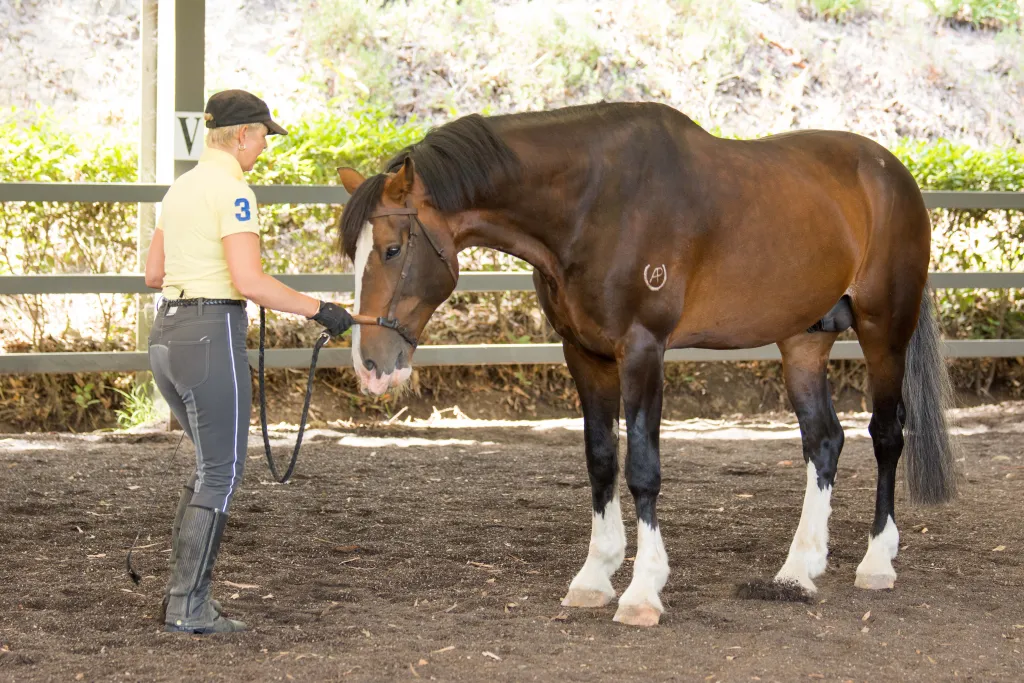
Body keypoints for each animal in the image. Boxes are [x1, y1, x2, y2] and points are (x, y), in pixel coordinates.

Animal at [335, 98, 958, 626]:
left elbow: (642, 468)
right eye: (354, 254)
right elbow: (601, 460)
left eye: (392, 249)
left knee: (886, 435)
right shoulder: (585, 354)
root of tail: (893, 173)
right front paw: (594, 577)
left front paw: (642, 591)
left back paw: (877, 563)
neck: (593, 204)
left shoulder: (642, 350)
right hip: (804, 341)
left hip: (884, 330)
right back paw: (798, 570)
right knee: (824, 441)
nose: (370, 365)